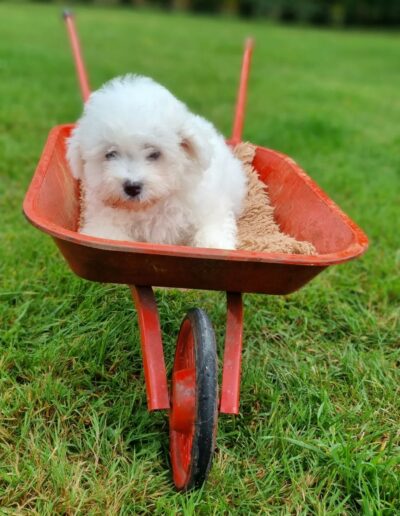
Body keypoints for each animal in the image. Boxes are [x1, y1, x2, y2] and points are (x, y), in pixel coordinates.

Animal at [66, 74, 247, 250]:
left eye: (154, 153)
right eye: (111, 154)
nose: (132, 187)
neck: (151, 206)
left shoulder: (209, 207)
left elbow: (212, 227)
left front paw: (213, 245)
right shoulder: (103, 220)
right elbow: (106, 236)